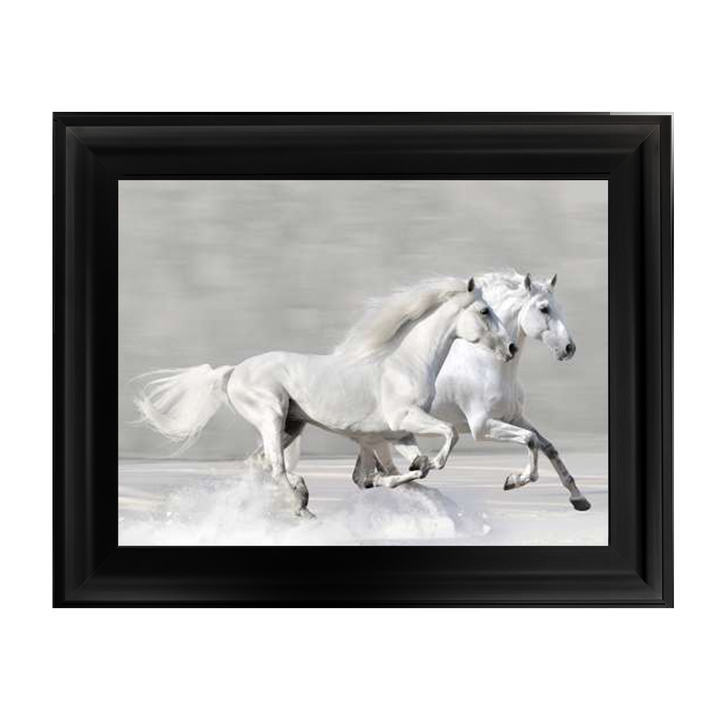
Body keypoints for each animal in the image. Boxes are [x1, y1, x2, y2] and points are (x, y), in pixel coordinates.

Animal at [133, 277, 515, 516]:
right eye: (484, 311)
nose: (510, 347)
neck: (405, 363)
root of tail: (233, 372)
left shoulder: (398, 434)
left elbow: (397, 471)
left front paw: (411, 472)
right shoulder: (404, 420)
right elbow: (446, 438)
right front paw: (426, 465)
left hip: (292, 425)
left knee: (260, 465)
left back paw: (298, 500)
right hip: (272, 416)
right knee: (275, 467)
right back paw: (301, 503)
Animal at [322, 271, 591, 511]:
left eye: (559, 307)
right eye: (544, 309)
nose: (569, 348)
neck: (487, 364)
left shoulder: (514, 417)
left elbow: (547, 446)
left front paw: (579, 499)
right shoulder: (482, 427)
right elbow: (530, 440)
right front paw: (514, 481)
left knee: (364, 476)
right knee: (370, 475)